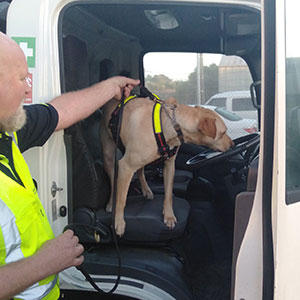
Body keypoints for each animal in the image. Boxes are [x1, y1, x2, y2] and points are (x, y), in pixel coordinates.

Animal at [99, 96, 233, 237]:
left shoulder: (169, 165)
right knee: (114, 182)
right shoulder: (125, 166)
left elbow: (168, 194)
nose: (233, 144)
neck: (169, 125)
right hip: (109, 156)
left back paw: (146, 190)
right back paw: (110, 203)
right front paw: (118, 222)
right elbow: (121, 199)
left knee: (140, 170)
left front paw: (169, 216)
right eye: (223, 132)